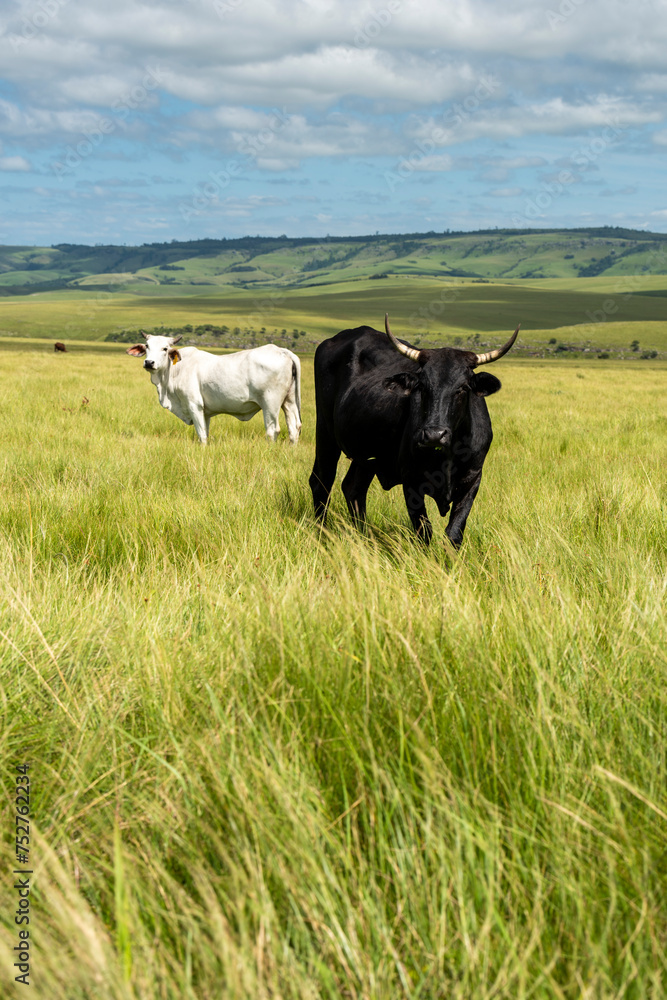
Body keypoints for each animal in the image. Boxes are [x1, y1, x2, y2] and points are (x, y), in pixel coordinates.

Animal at [126, 334, 302, 444]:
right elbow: (205, 431)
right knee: (294, 428)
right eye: (147, 346)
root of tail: (282, 350)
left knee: (272, 430)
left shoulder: (194, 405)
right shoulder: (206, 412)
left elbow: (202, 435)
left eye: (165, 348)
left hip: (270, 404)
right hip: (289, 401)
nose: (149, 363)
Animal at [310, 314, 520, 544]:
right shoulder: (411, 481)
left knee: (353, 488)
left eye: (462, 388)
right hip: (325, 434)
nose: (435, 435)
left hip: (366, 456)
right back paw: (321, 533)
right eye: (422, 386)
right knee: (322, 482)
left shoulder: (472, 480)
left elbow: (454, 532)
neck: (447, 456)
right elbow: (424, 531)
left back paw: (364, 538)